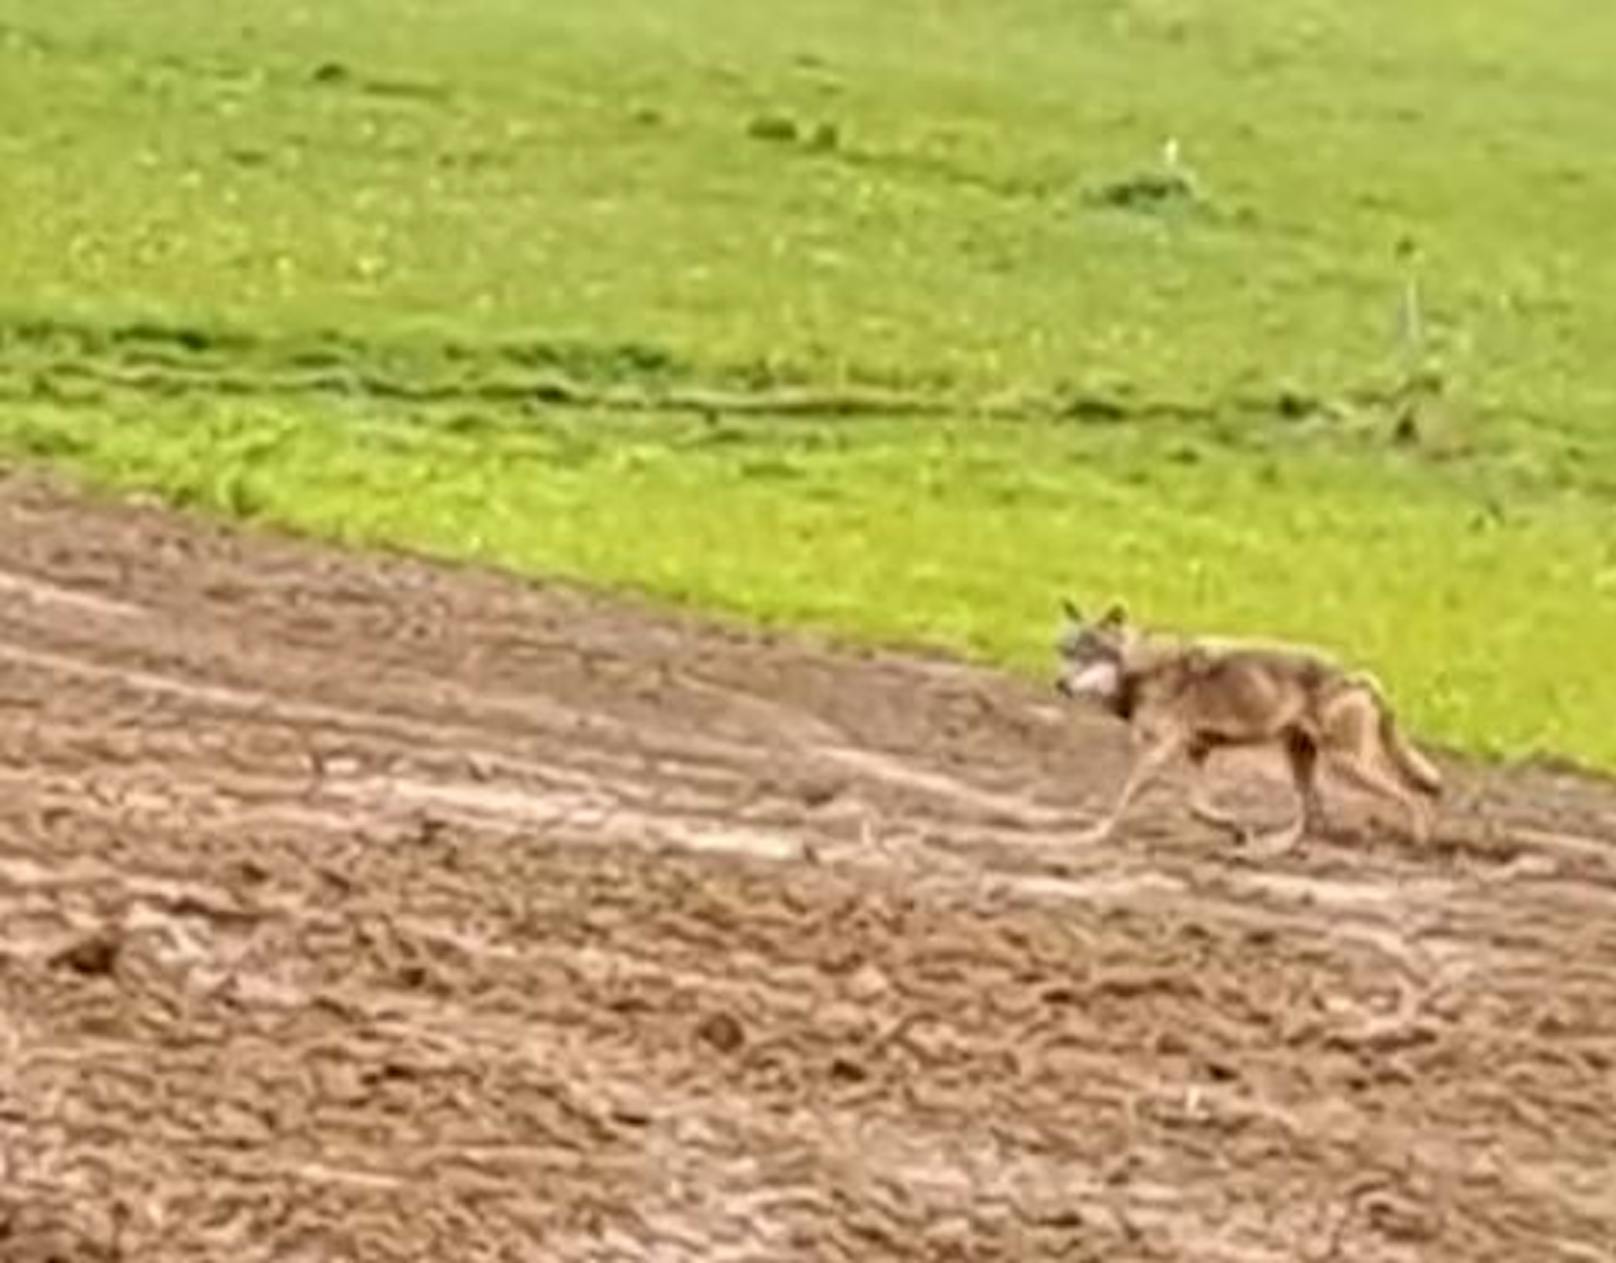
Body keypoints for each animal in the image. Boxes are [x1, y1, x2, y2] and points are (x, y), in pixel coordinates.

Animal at [1053, 600, 1447, 852]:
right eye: (1064, 653)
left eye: (1087, 657)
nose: (1059, 684)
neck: (1141, 668)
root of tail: (1358, 675)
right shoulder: (1196, 751)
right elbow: (1196, 806)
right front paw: (1237, 829)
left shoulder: (1162, 749)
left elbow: (1124, 800)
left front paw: (1093, 835)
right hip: (1301, 759)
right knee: (1312, 814)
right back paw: (1271, 849)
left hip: (1347, 765)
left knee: (1412, 798)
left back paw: (1420, 846)